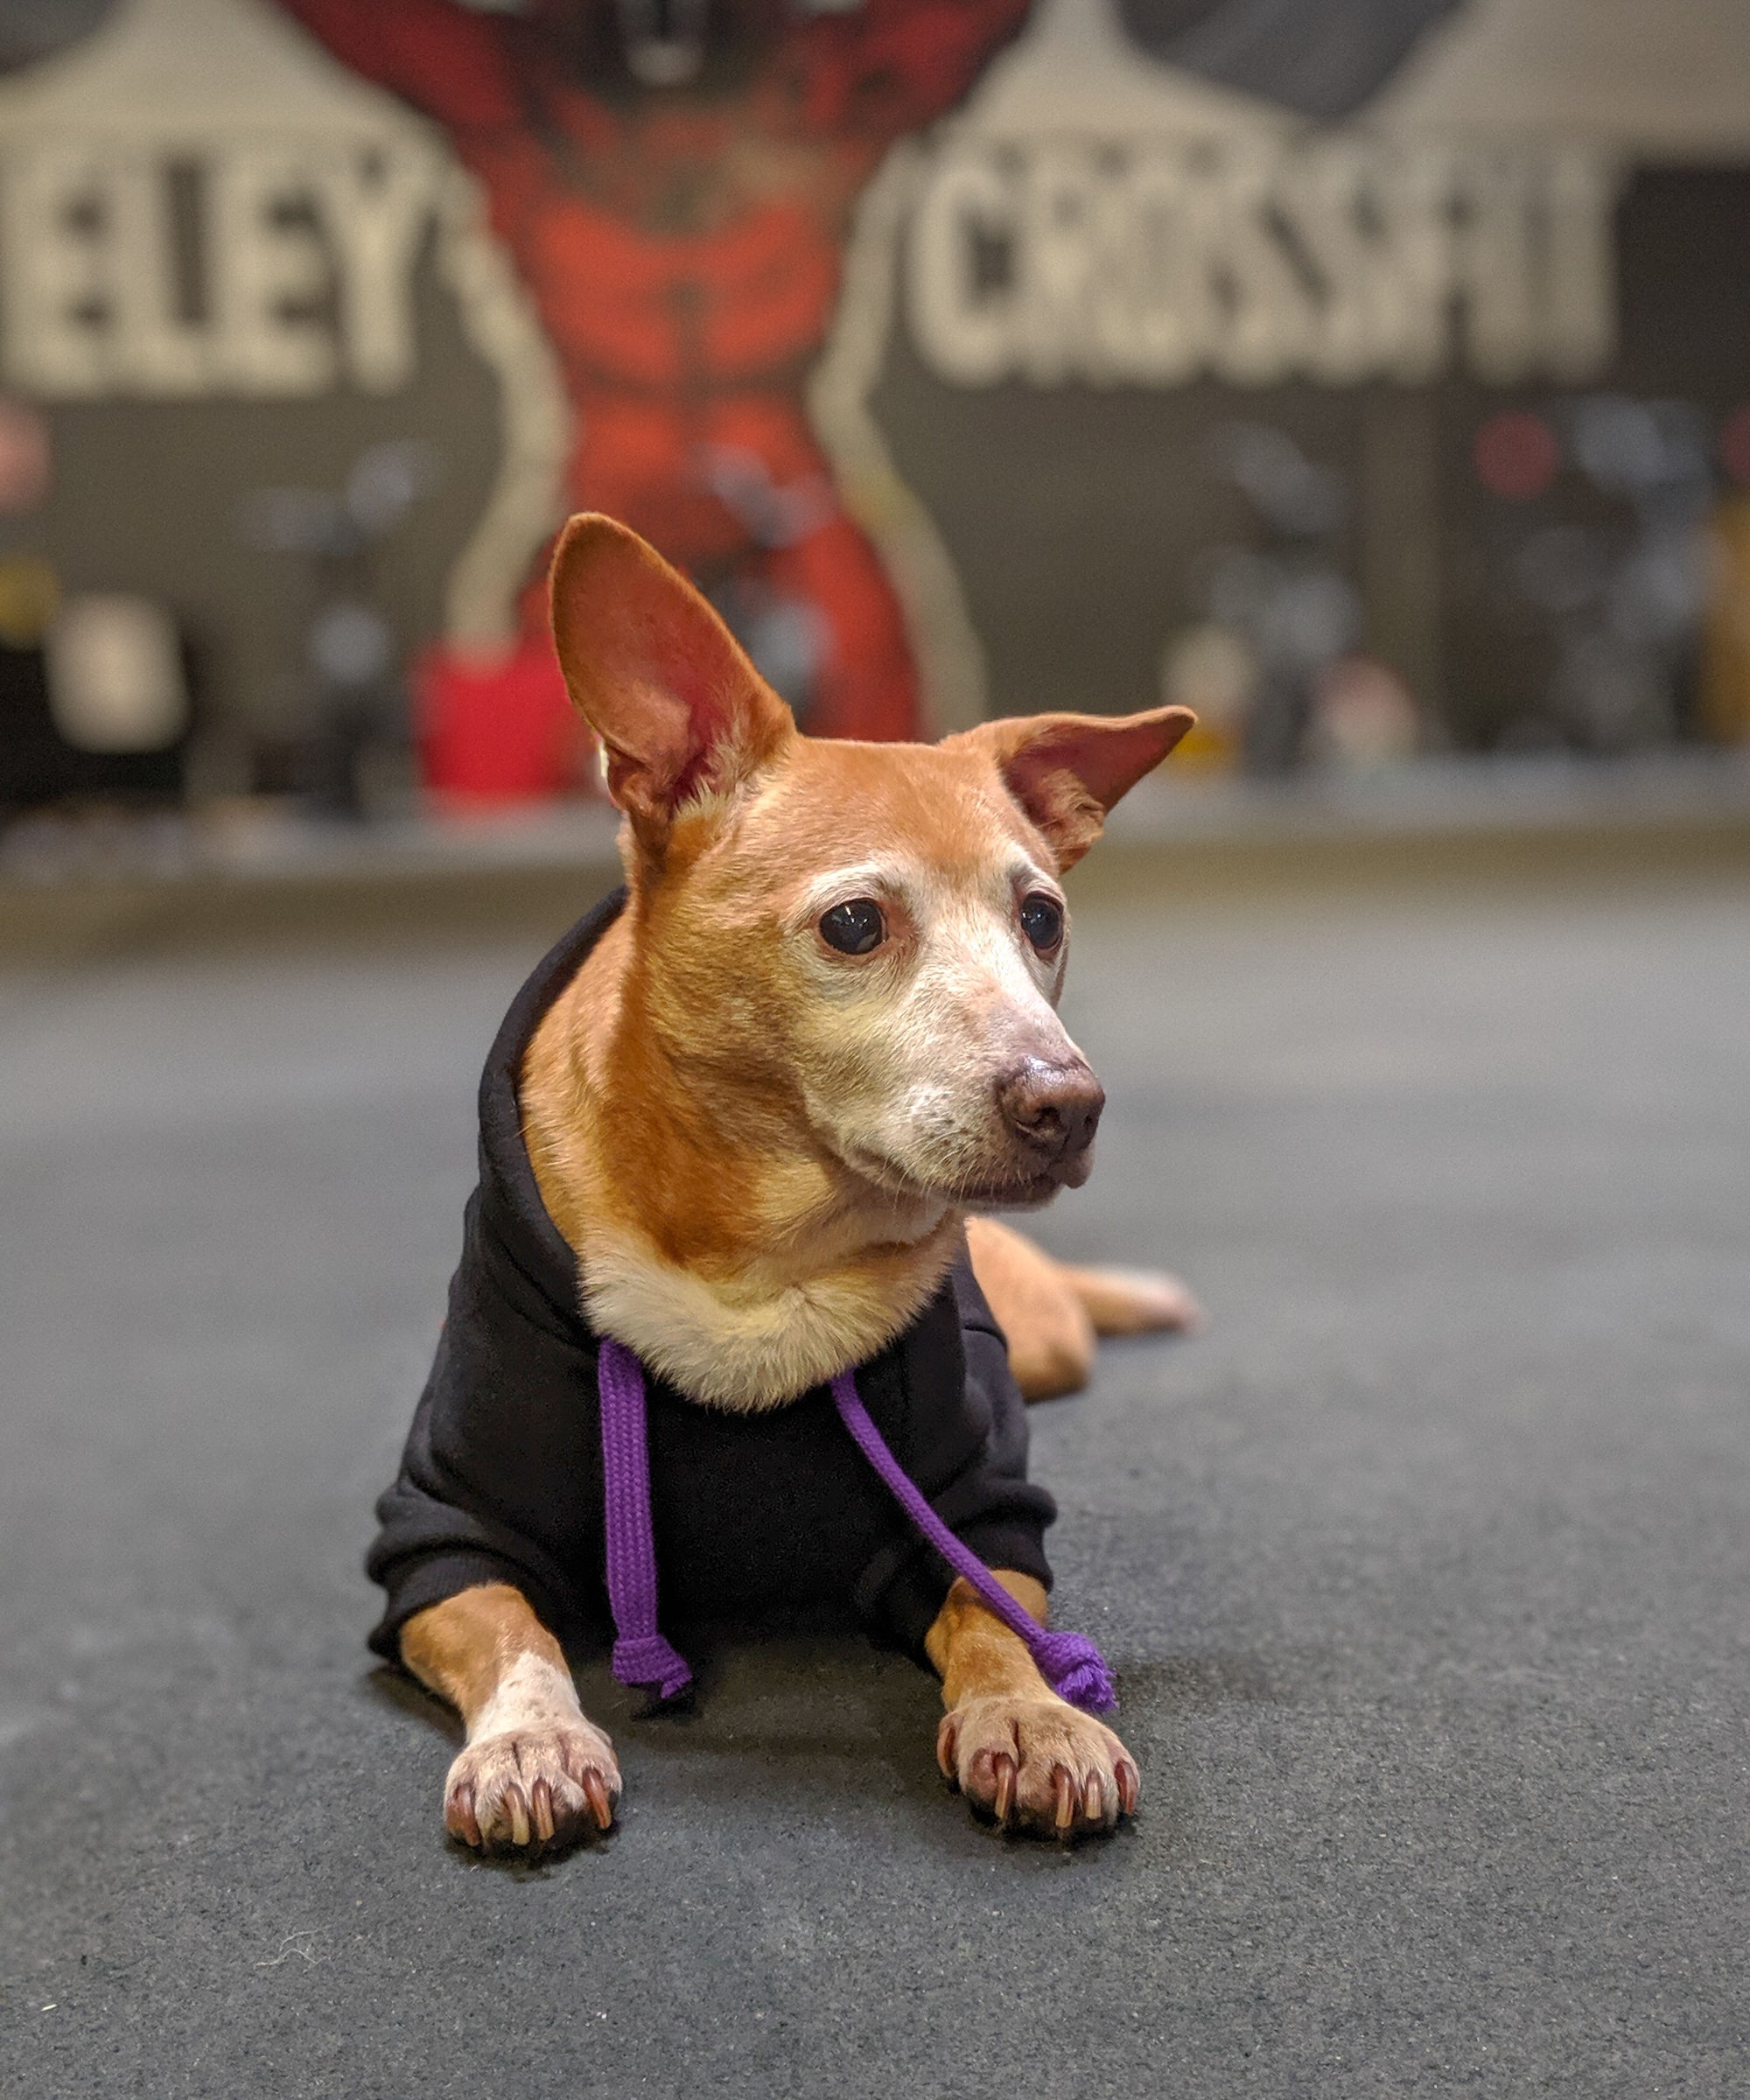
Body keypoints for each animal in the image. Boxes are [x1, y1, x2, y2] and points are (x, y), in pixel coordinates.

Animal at [363, 512, 1193, 1856]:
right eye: (855, 924)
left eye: (1042, 920)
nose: (1068, 1104)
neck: (760, 1276)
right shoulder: (440, 1535)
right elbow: (516, 1634)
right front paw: (531, 1738)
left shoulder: (975, 1508)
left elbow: (993, 1620)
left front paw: (1033, 1717)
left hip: (1042, 1344)